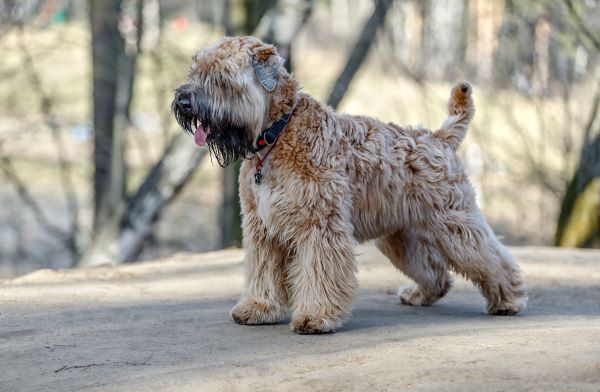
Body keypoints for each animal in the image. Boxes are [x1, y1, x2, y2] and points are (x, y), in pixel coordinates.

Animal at [172, 36, 524, 334]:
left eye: (222, 76)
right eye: (196, 70)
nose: (183, 100)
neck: (277, 135)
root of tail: (440, 138)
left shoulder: (319, 226)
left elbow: (319, 273)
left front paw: (316, 317)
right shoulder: (263, 229)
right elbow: (263, 272)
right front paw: (259, 307)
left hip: (456, 226)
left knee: (492, 258)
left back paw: (509, 299)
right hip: (401, 236)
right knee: (436, 272)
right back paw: (419, 294)